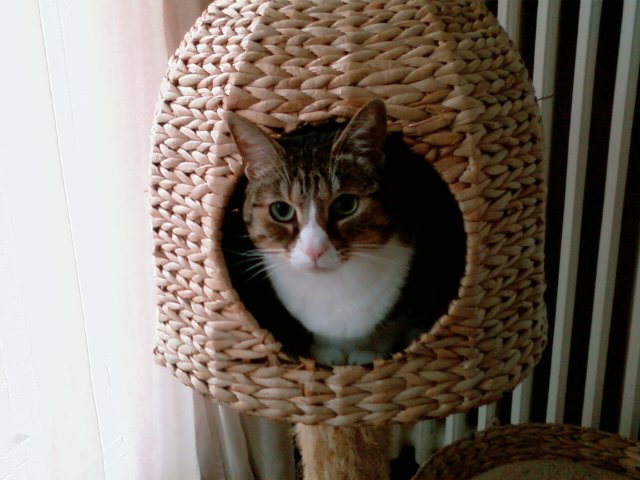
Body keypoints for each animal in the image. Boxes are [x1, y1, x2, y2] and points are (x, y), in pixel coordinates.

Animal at [224, 99, 465, 365]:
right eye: (281, 210)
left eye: (345, 205)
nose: (314, 250)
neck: (332, 287)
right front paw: (327, 351)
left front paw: (367, 351)